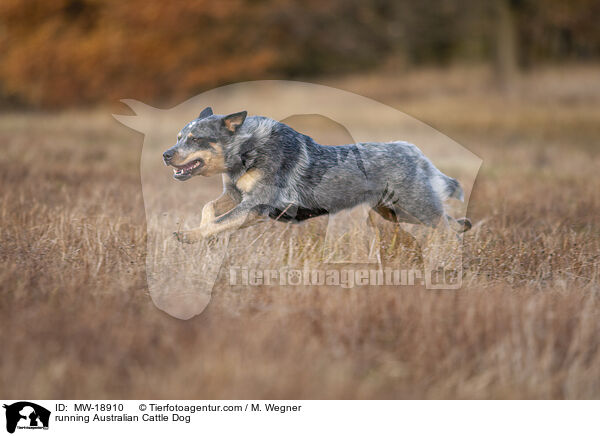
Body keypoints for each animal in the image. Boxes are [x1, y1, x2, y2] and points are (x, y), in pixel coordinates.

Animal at [162, 105, 472, 242]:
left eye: (195, 139)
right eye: (178, 137)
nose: (166, 154)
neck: (246, 151)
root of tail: (414, 152)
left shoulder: (256, 205)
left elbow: (219, 220)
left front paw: (189, 235)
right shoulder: (235, 195)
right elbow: (208, 209)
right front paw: (201, 232)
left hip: (416, 208)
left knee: (447, 227)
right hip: (398, 212)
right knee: (453, 222)